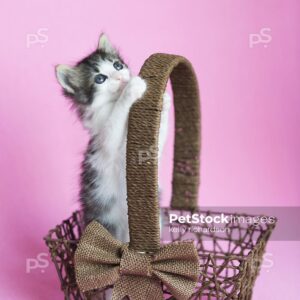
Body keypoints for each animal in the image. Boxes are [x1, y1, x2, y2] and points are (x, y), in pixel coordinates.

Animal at [55, 34, 170, 243]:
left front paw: (164, 101)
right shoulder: (106, 138)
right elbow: (118, 114)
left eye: (117, 65)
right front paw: (133, 87)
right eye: (100, 79)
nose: (121, 78)